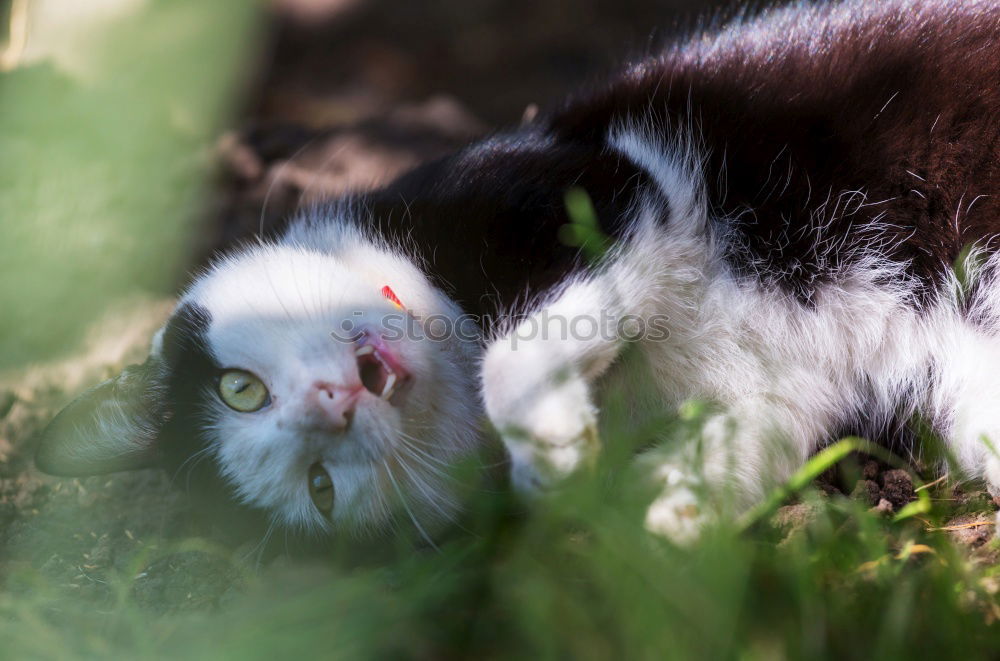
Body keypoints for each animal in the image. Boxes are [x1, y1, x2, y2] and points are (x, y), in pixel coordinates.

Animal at [35, 0, 1000, 544]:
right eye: (321, 488)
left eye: (238, 388)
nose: (332, 405)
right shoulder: (776, 392)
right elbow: (756, 437)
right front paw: (659, 510)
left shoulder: (589, 185)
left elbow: (517, 348)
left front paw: (552, 444)